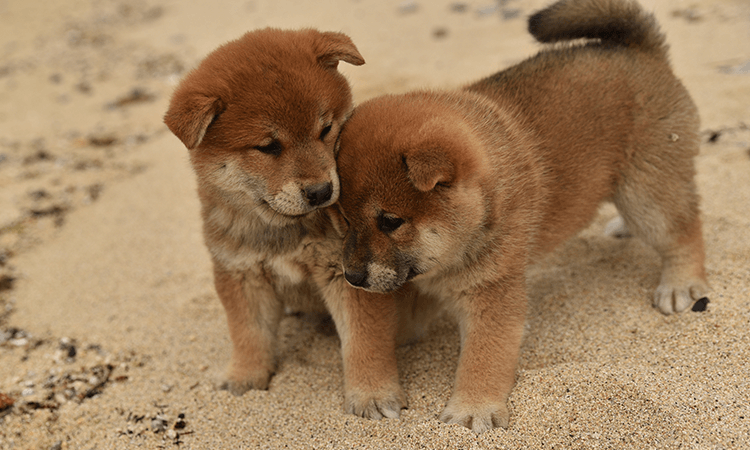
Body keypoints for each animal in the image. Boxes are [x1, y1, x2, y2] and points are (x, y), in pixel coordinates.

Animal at [164, 29, 418, 420]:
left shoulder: (348, 273)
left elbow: (364, 340)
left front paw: (372, 395)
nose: (321, 191)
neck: (284, 231)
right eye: (268, 147)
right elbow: (248, 333)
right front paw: (244, 376)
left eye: (326, 129)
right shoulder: (240, 272)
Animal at [334, 0, 712, 432]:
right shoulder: (407, 282)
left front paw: (473, 408)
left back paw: (680, 284)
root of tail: (639, 49)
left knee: (684, 230)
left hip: (647, 194)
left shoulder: (494, 293)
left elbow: (483, 357)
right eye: (344, 220)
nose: (351, 277)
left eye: (390, 221)